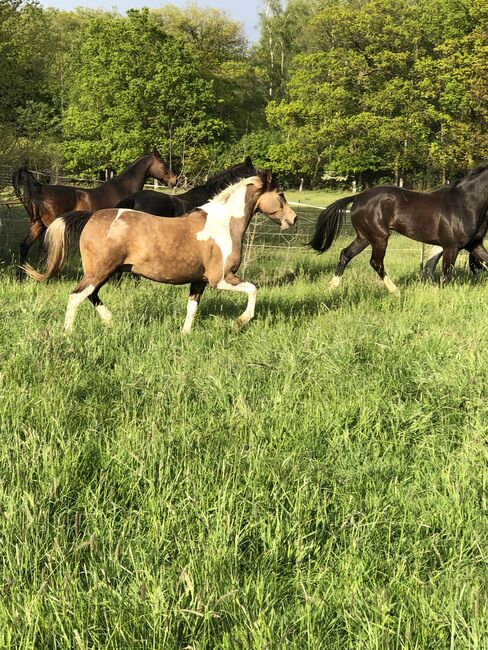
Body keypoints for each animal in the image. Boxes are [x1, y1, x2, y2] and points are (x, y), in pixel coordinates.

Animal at [11, 148, 177, 272]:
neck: (124, 190)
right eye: (163, 163)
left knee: (24, 246)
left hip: (37, 226)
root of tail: (40, 189)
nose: (174, 180)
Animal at [22, 172, 298, 332]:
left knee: (92, 296)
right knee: (77, 296)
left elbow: (192, 309)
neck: (223, 224)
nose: (293, 219)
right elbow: (253, 290)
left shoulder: (199, 281)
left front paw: (185, 335)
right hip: (99, 271)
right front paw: (240, 321)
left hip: (104, 272)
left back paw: (110, 321)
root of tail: (91, 216)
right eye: (281, 194)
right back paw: (68, 333)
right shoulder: (221, 279)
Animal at [310, 165, 488, 292]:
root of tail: (358, 197)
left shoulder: (474, 245)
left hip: (364, 237)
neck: (464, 203)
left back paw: (331, 288)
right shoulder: (451, 247)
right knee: (376, 262)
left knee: (345, 254)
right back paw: (396, 291)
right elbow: (446, 276)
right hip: (379, 237)